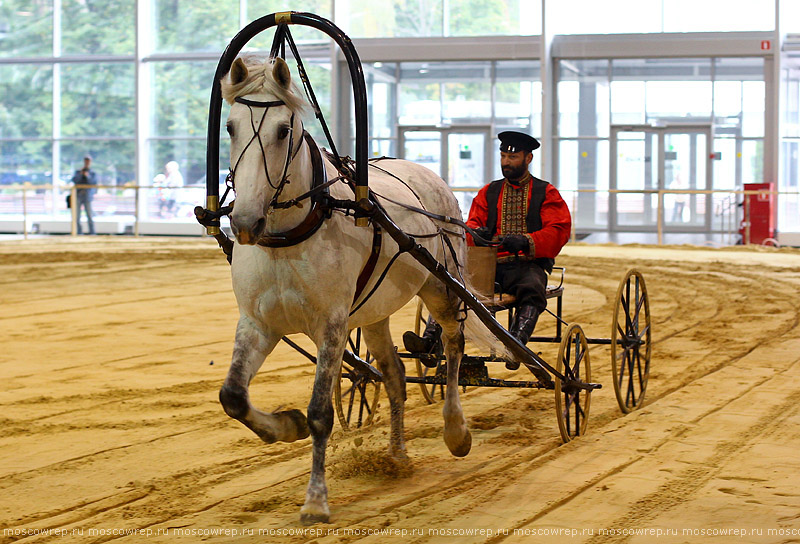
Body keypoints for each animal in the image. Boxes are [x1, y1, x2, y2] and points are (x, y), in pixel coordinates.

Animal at [216, 54, 496, 524]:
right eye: (231, 126)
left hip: (441, 286)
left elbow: (320, 412)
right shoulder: (257, 323)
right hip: (375, 313)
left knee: (453, 346)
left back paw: (455, 429)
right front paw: (286, 425)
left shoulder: (332, 324)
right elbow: (233, 396)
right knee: (395, 373)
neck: (288, 236)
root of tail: (425, 171)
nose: (245, 222)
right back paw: (396, 456)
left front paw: (315, 500)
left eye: (283, 130)